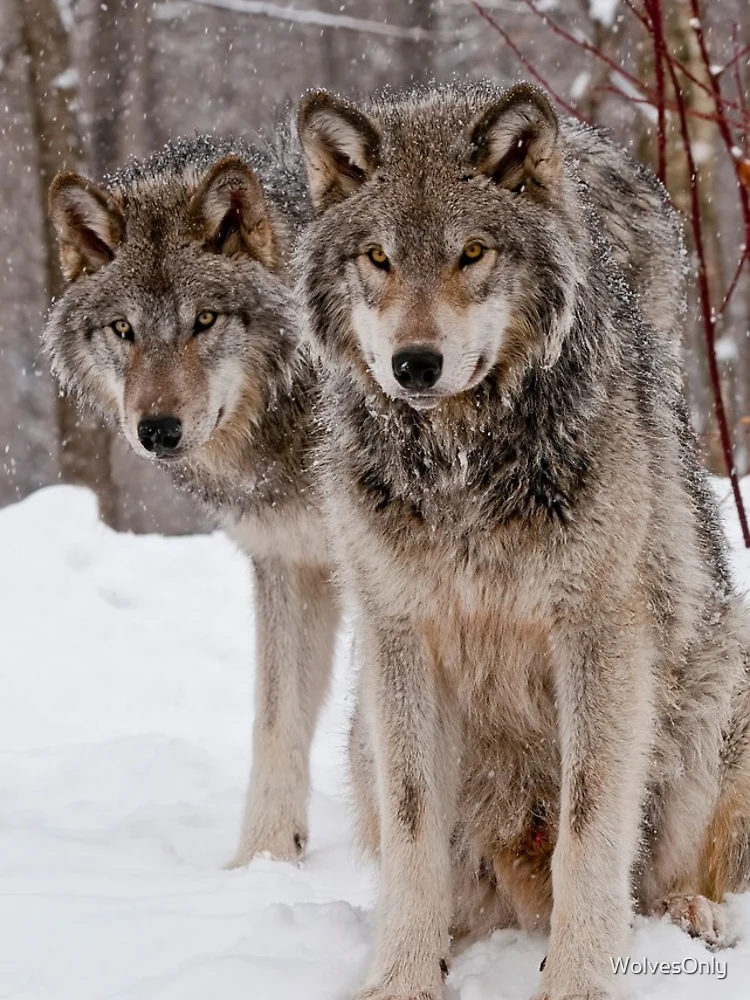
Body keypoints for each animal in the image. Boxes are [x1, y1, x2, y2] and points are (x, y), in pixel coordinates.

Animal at [44, 133, 338, 867]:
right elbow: (276, 720)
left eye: (203, 321)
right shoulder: (289, 562)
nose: (157, 430)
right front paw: (264, 862)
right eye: (124, 330)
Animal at [296, 82, 750, 1000]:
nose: (416, 364)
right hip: (364, 731)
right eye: (378, 258)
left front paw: (579, 982)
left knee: (674, 875)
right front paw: (401, 978)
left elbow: (590, 826)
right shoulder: (399, 637)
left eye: (472, 253)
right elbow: (413, 830)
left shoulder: (599, 635)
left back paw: (696, 917)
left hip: (721, 682)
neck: (463, 468)